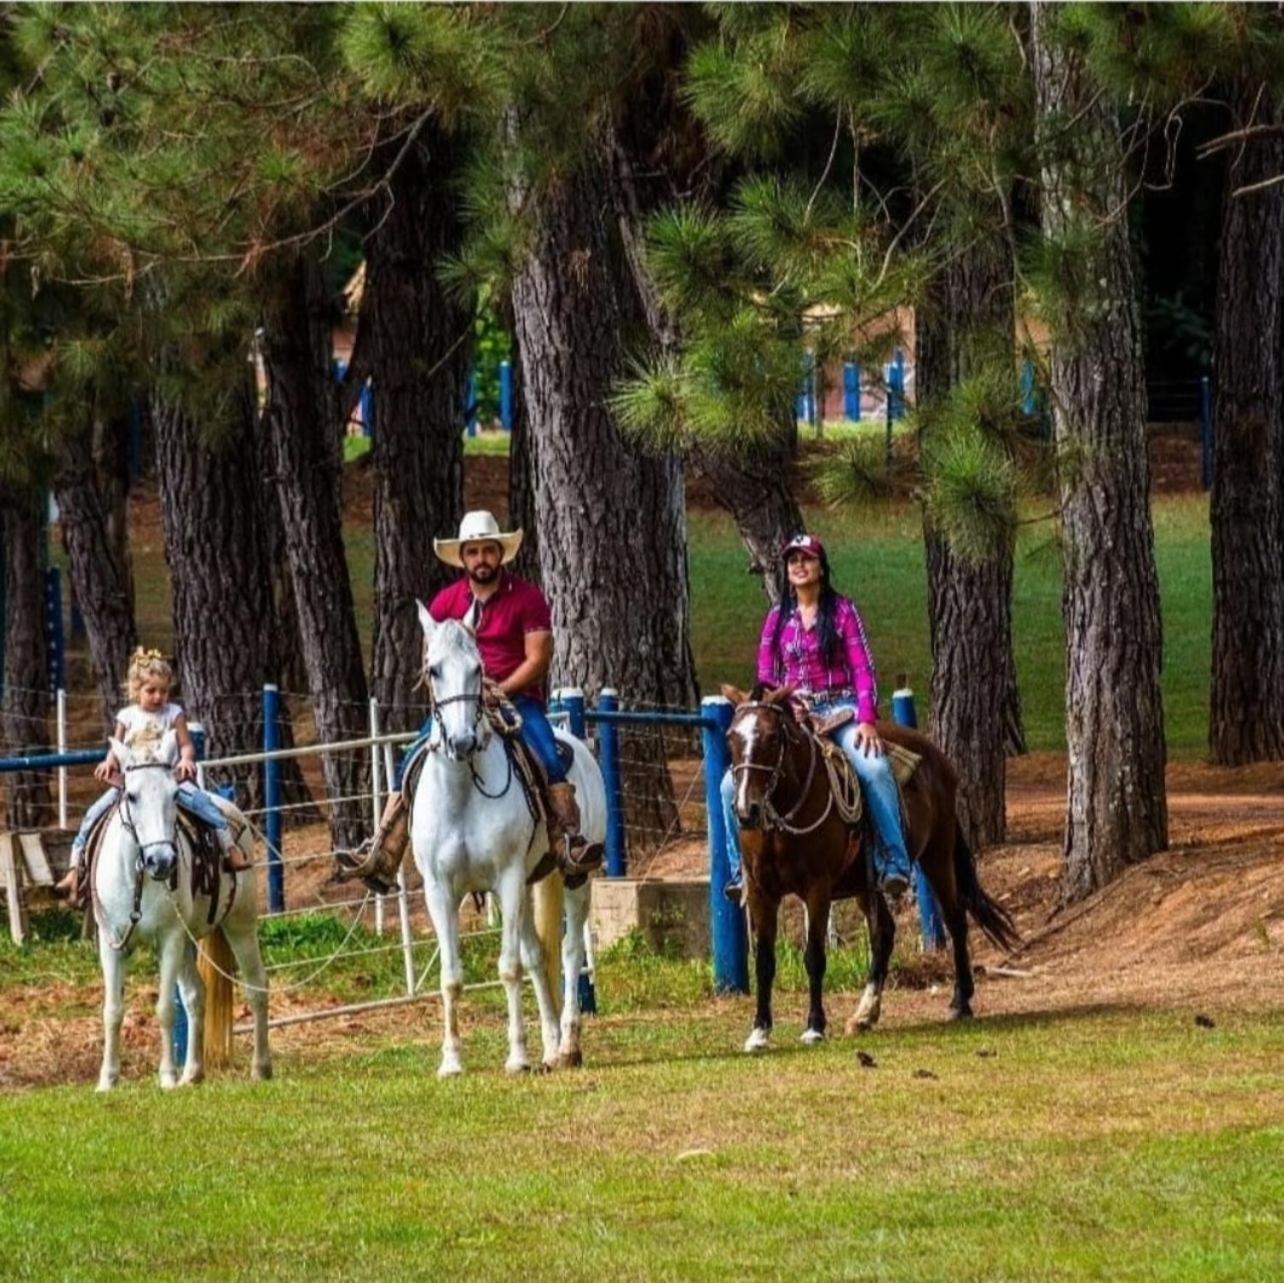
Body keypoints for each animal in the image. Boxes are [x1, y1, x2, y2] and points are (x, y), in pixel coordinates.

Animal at [93, 734, 270, 1094]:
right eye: (131, 795)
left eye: (174, 794)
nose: (161, 860)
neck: (137, 876)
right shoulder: (110, 942)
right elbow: (113, 1010)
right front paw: (107, 1079)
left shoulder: (170, 939)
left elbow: (164, 1009)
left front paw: (166, 1077)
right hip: (191, 942)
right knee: (195, 996)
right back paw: (194, 1072)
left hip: (241, 926)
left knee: (256, 987)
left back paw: (260, 1068)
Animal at [416, 606, 606, 1078]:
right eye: (433, 669)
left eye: (478, 669)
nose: (462, 741)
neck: (462, 793)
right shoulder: (440, 891)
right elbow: (451, 976)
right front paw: (451, 1061)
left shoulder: (507, 877)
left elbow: (508, 968)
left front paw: (517, 1056)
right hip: (525, 888)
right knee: (540, 957)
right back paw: (552, 1047)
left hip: (574, 877)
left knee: (571, 951)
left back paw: (569, 1045)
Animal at [724, 683, 1011, 1053]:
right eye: (731, 736)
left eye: (773, 737)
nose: (747, 809)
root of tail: (938, 756)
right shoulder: (761, 891)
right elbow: (764, 961)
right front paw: (759, 1031)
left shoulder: (817, 888)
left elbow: (814, 955)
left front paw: (814, 1026)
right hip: (865, 883)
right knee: (884, 933)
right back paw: (864, 1014)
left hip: (937, 854)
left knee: (956, 920)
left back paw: (960, 1002)